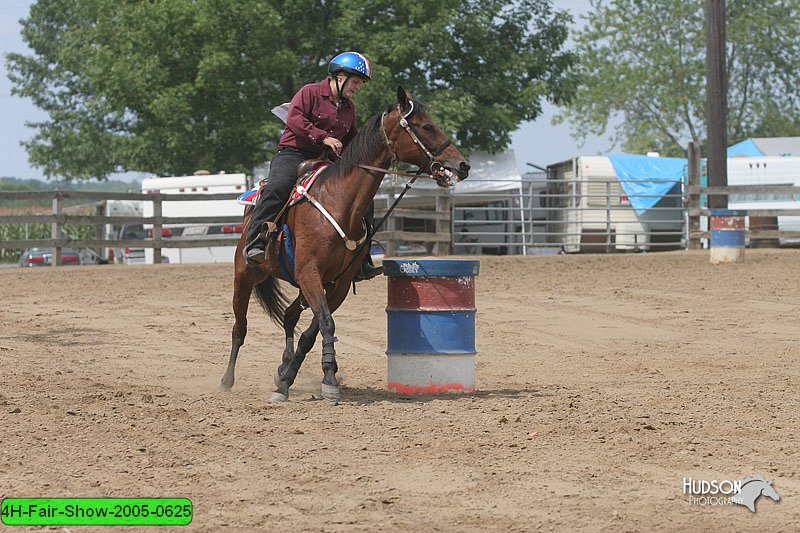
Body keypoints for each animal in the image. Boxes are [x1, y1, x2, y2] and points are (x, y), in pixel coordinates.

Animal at [220, 87, 468, 402]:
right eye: (426, 126)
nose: (463, 165)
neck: (339, 201)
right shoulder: (310, 273)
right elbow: (325, 323)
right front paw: (312, 381)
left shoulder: (336, 284)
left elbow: (314, 331)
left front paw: (304, 377)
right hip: (245, 274)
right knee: (239, 328)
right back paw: (227, 379)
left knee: (289, 316)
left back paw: (283, 365)